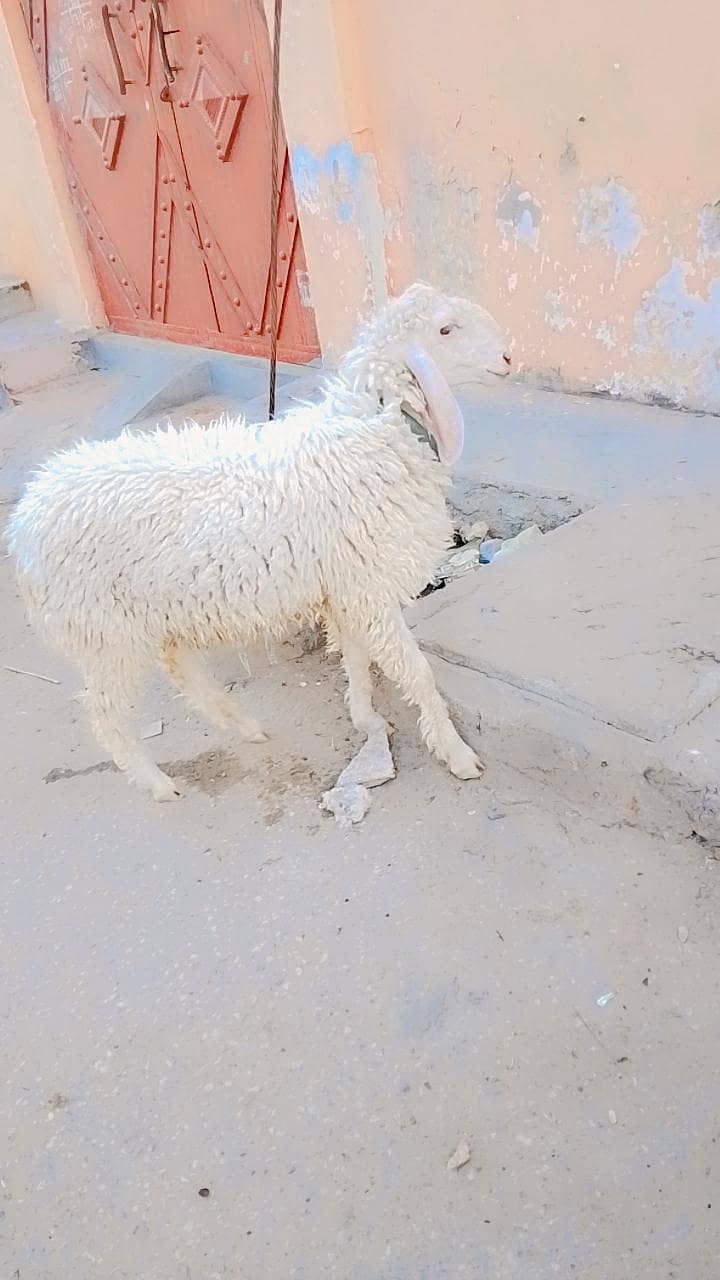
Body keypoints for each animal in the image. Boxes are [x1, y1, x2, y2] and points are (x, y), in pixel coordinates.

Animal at [6, 282, 512, 802]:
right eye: (445, 329)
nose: (509, 358)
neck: (368, 438)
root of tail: (24, 522)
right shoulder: (365, 588)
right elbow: (416, 672)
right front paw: (456, 754)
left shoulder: (344, 589)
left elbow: (356, 658)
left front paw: (366, 718)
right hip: (103, 632)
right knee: (107, 714)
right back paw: (158, 783)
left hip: (153, 613)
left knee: (181, 669)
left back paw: (242, 725)